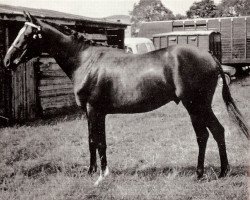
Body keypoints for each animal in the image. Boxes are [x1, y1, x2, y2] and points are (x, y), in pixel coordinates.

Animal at [2, 12, 249, 184]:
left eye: (27, 34)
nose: (7, 60)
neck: (85, 60)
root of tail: (210, 56)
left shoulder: (94, 110)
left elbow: (98, 141)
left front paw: (101, 175)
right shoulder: (91, 112)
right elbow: (92, 141)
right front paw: (93, 171)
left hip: (195, 105)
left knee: (204, 135)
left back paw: (199, 174)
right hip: (202, 106)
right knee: (218, 131)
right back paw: (223, 171)